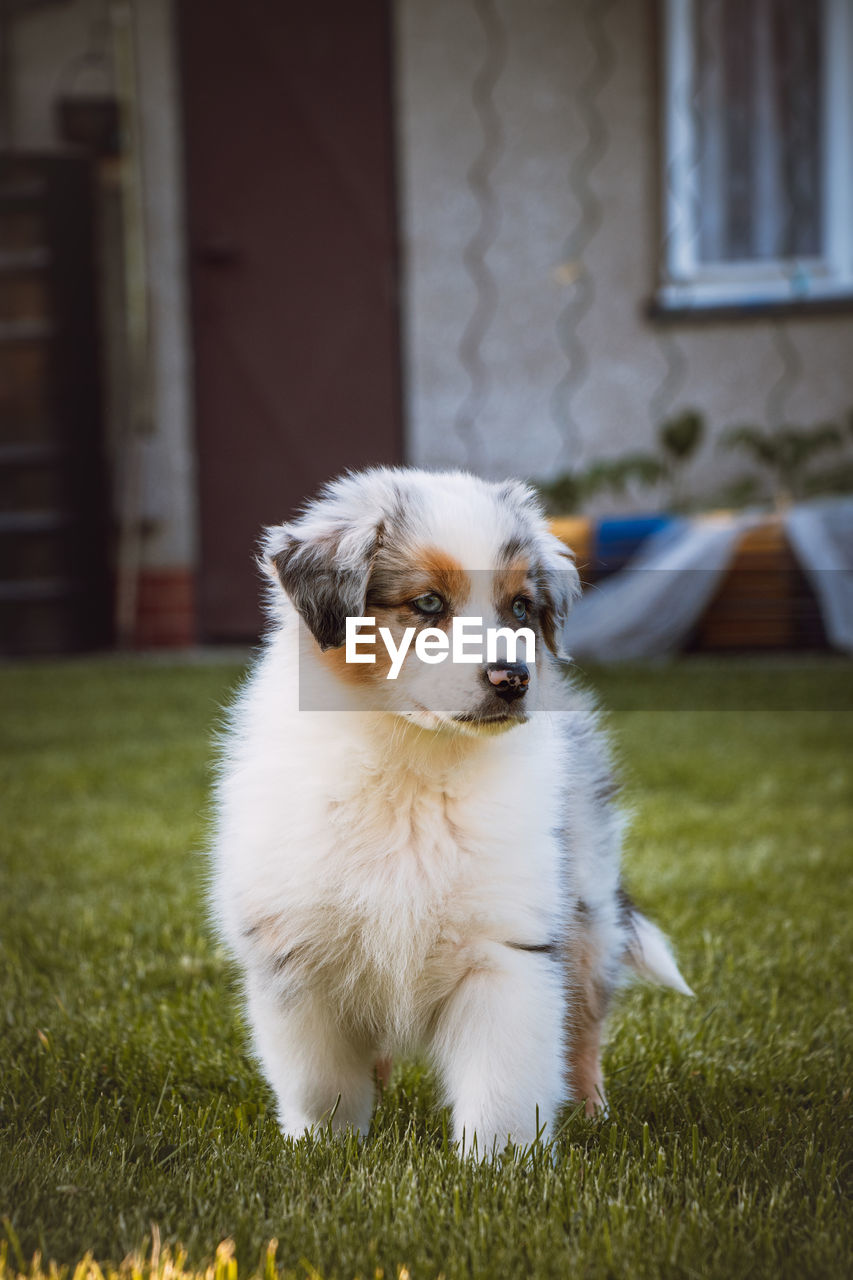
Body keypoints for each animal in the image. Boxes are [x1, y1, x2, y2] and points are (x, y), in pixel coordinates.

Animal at [208, 468, 686, 1152]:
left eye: (521, 609)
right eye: (429, 604)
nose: (513, 678)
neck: (414, 763)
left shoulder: (506, 947)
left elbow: (501, 1087)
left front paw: (499, 1165)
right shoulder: (297, 950)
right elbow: (321, 1083)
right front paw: (322, 1151)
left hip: (588, 914)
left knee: (585, 1027)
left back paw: (593, 1112)